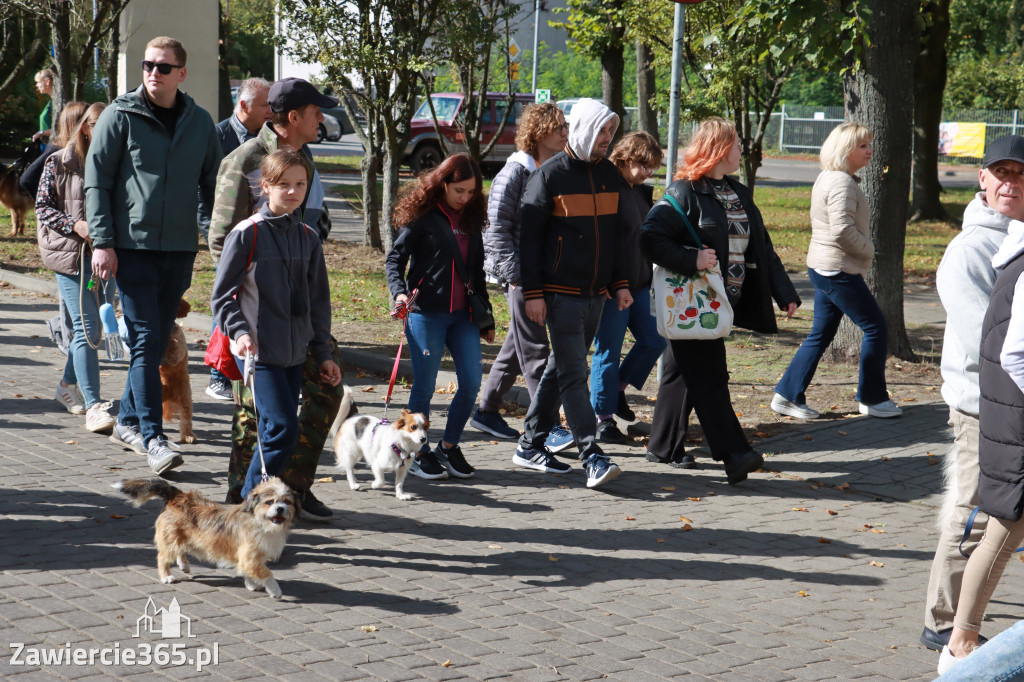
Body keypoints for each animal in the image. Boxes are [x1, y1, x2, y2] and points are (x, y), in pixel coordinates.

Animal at [117, 475, 299, 598]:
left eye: (287, 502)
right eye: (270, 502)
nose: (280, 509)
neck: (259, 521)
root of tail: (178, 496)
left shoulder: (250, 558)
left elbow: (250, 571)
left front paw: (251, 584)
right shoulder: (250, 557)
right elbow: (267, 573)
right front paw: (275, 590)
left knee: (180, 550)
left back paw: (184, 565)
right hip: (170, 538)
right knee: (162, 557)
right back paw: (166, 576)